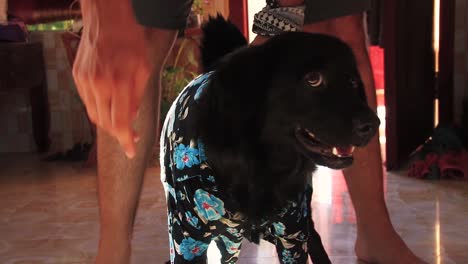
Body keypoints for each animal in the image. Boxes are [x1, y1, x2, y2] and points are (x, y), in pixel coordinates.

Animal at [161, 15, 380, 262]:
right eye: (313, 79)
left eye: (352, 82)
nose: (373, 125)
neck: (261, 167)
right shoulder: (187, 238)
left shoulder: (293, 232)